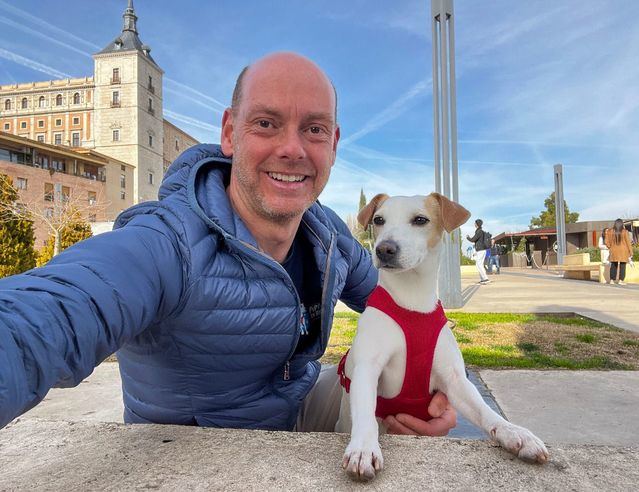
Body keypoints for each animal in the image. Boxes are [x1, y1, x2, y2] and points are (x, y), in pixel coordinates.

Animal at [336, 192, 552, 480]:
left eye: (420, 220)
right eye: (379, 220)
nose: (383, 249)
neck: (412, 301)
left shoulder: (455, 380)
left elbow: (485, 412)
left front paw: (513, 432)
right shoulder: (366, 369)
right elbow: (366, 414)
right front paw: (363, 449)